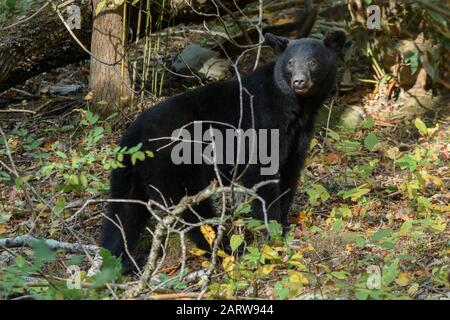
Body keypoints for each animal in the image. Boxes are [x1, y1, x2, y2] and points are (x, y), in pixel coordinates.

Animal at [101, 28, 348, 272]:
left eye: (313, 61)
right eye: (290, 63)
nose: (299, 81)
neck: (296, 107)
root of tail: (133, 138)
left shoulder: (299, 134)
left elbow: (290, 172)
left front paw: (285, 224)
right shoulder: (263, 122)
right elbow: (262, 177)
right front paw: (272, 231)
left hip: (130, 174)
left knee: (123, 214)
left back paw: (120, 261)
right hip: (173, 165)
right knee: (193, 210)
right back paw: (227, 248)